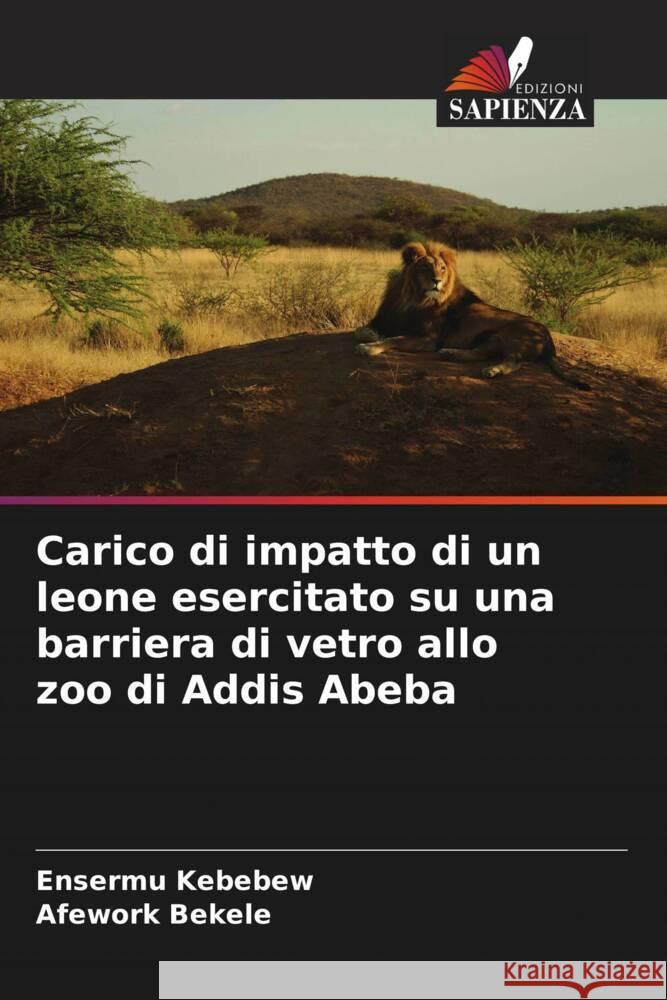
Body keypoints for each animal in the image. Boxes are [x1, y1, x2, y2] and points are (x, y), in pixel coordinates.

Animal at [355, 240, 589, 389]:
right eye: (425, 267)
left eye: (442, 269)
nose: (437, 281)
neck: (412, 298)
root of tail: (549, 339)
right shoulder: (385, 320)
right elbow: (363, 330)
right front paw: (370, 336)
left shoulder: (428, 339)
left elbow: (394, 339)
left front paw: (369, 347)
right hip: (492, 338)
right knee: (481, 353)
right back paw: (451, 354)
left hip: (513, 332)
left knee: (515, 360)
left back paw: (492, 370)